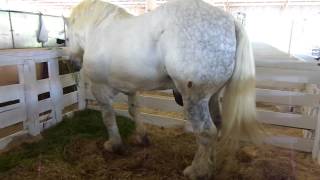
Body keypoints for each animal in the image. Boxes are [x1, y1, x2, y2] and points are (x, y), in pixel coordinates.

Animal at [65, 0, 262, 179]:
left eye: (65, 38)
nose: (72, 63)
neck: (98, 28)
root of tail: (230, 21)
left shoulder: (100, 89)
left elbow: (108, 117)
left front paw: (114, 145)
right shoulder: (130, 87)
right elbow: (134, 111)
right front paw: (142, 138)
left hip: (195, 99)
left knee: (206, 133)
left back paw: (197, 171)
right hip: (212, 96)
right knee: (217, 125)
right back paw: (210, 165)